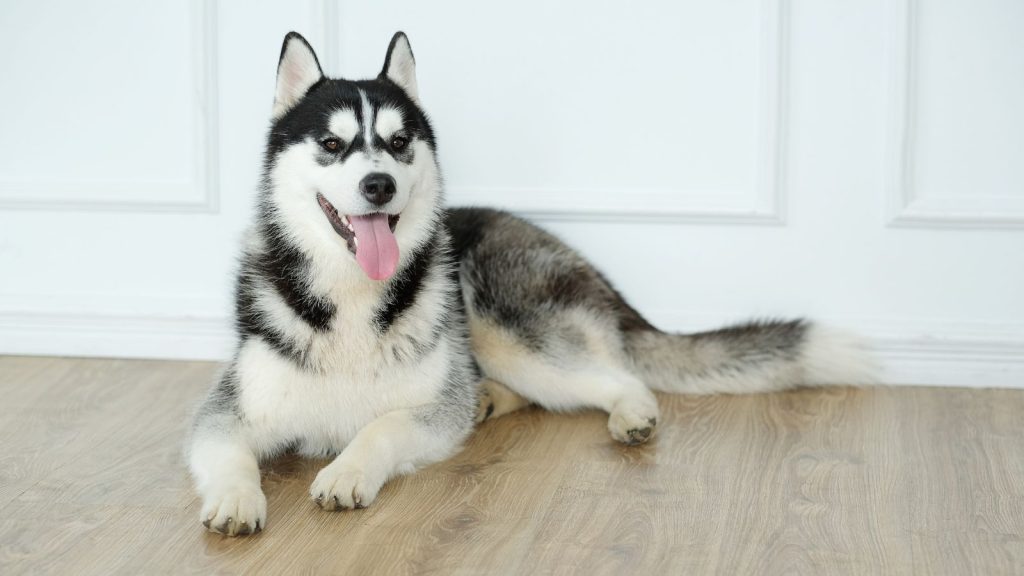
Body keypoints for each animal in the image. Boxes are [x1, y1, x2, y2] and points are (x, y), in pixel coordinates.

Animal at [188, 31, 876, 532]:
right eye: (332, 144)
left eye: (399, 141)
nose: (378, 184)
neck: (353, 297)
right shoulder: (225, 413)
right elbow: (227, 450)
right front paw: (236, 498)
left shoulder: (433, 413)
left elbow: (380, 426)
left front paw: (347, 470)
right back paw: (493, 400)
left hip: (497, 316)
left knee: (616, 377)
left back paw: (628, 413)